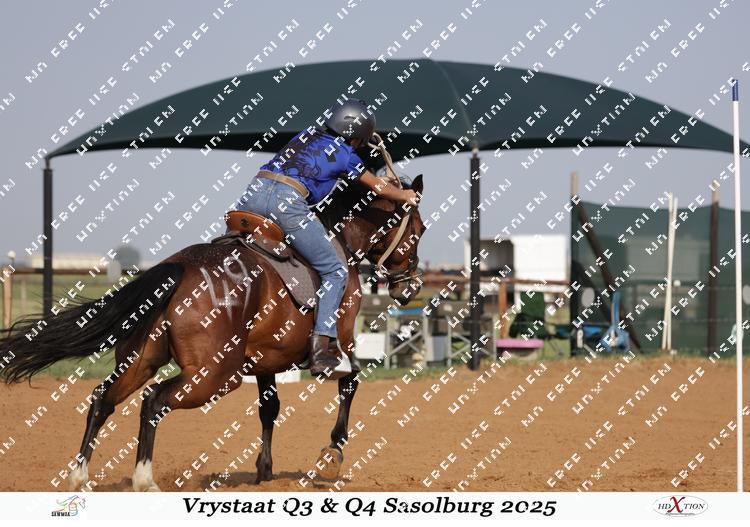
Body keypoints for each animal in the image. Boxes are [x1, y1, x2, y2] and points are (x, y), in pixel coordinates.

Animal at [0, 174, 425, 491]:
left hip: (143, 360)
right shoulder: (341, 344)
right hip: (215, 375)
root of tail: (178, 267)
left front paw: (264, 469)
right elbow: (349, 384)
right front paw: (332, 456)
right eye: (418, 230)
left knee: (103, 398)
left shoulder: (266, 360)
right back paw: (143, 480)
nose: (411, 287)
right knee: (153, 401)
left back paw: (79, 477)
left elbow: (270, 408)